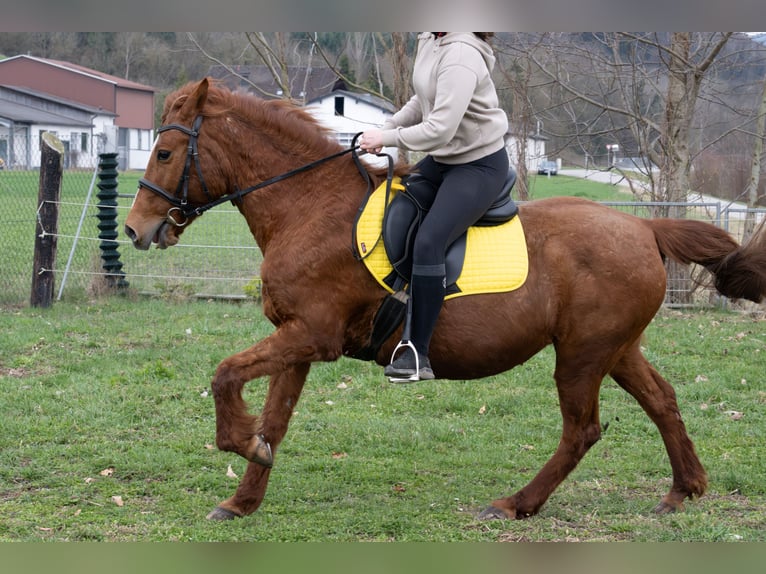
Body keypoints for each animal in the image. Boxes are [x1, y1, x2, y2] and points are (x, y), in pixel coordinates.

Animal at [124, 78, 766, 522]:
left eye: (164, 154)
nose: (135, 230)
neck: (308, 207)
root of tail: (644, 227)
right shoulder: (296, 339)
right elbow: (275, 419)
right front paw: (245, 492)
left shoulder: (312, 335)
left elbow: (225, 373)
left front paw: (241, 444)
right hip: (615, 347)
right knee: (662, 400)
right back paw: (683, 489)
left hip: (582, 356)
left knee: (582, 430)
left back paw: (515, 503)